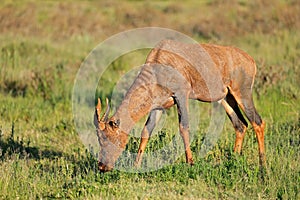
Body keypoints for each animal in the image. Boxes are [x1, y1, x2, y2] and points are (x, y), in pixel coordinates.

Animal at [94, 39, 264, 173]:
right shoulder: (158, 106)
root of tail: (250, 60)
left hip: (242, 93)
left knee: (258, 122)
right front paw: (136, 166)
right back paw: (234, 160)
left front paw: (190, 163)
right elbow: (146, 131)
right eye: (99, 138)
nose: (102, 167)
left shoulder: (181, 96)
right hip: (226, 98)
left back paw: (263, 166)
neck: (160, 59)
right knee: (240, 125)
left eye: (107, 138)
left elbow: (184, 127)